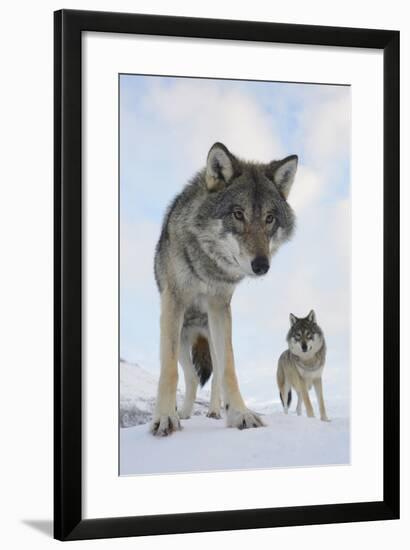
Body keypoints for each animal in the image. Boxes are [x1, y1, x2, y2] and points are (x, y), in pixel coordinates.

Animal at [151, 141, 298, 436]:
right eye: (238, 214)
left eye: (269, 218)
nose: (262, 265)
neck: (207, 265)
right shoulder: (174, 302)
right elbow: (168, 370)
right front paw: (165, 417)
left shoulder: (220, 306)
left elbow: (229, 369)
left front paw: (240, 414)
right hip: (182, 340)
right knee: (191, 377)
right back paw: (184, 413)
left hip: (211, 336)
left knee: (216, 374)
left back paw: (215, 411)